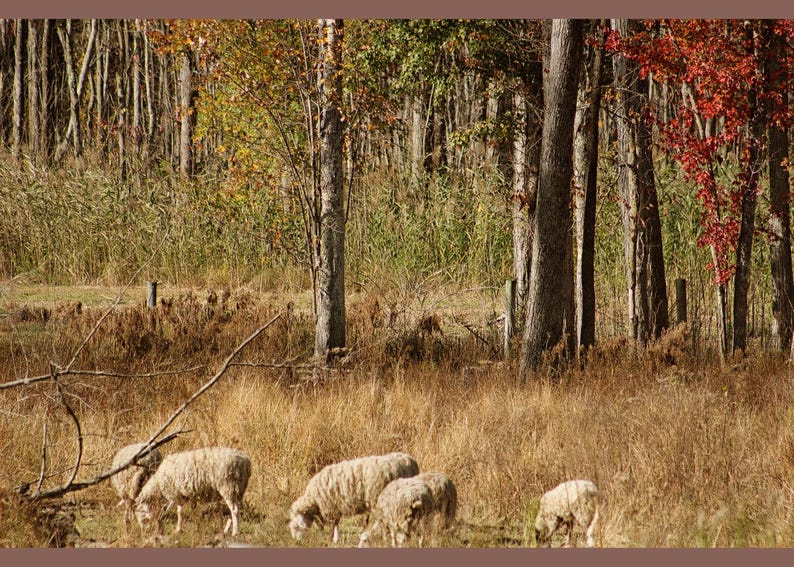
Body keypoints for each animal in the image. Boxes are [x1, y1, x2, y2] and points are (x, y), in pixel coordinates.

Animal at [289, 451, 419, 544]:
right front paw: (336, 538)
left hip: (384, 499)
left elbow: (334, 524)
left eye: (295, 526)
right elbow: (336, 522)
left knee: (384, 520)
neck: (314, 500)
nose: (296, 542)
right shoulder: (335, 506)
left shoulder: (331, 506)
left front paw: (333, 538)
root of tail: (410, 461)